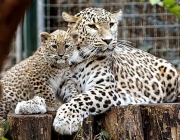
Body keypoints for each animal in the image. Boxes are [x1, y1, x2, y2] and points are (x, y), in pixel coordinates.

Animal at [53, 7, 180, 135]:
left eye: (111, 24)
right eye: (92, 26)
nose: (109, 40)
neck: (76, 60)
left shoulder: (105, 87)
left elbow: (83, 99)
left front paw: (65, 119)